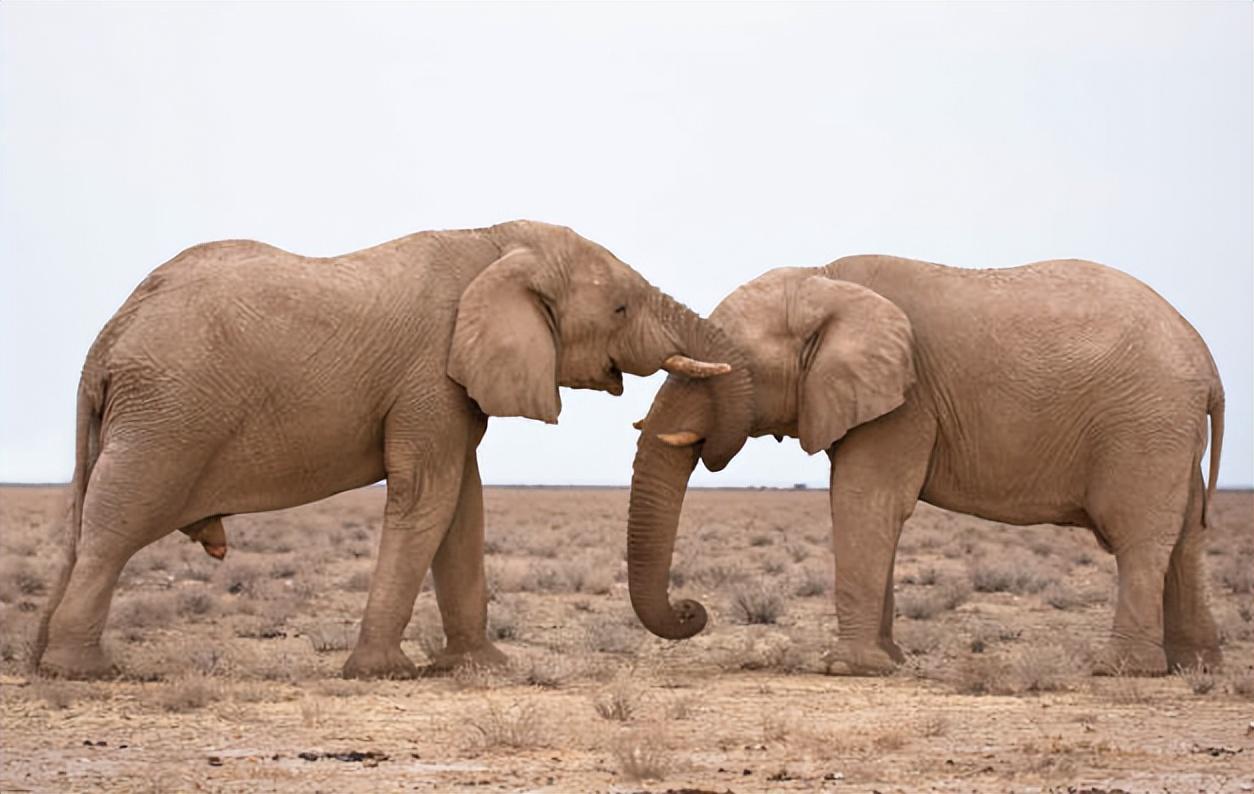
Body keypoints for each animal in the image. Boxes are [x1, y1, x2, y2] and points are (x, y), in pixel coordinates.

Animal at [31, 220, 738, 680]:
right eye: (620, 307)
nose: (692, 609)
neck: (494, 241)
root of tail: (110, 334)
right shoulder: (428, 374)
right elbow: (428, 496)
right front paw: (382, 671)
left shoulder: (450, 388)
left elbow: (462, 508)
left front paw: (480, 667)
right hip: (167, 416)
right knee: (116, 527)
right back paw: (82, 672)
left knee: (82, 524)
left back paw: (39, 663)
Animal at [626, 255, 1225, 676]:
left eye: (736, 365)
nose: (693, 610)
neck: (828, 282)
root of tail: (1207, 359)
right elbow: (872, 509)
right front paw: (888, 662)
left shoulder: (908, 401)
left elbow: (866, 503)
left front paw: (847, 669)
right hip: (1170, 431)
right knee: (1186, 538)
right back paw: (1193, 668)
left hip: (1145, 423)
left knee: (1138, 537)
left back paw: (1121, 670)